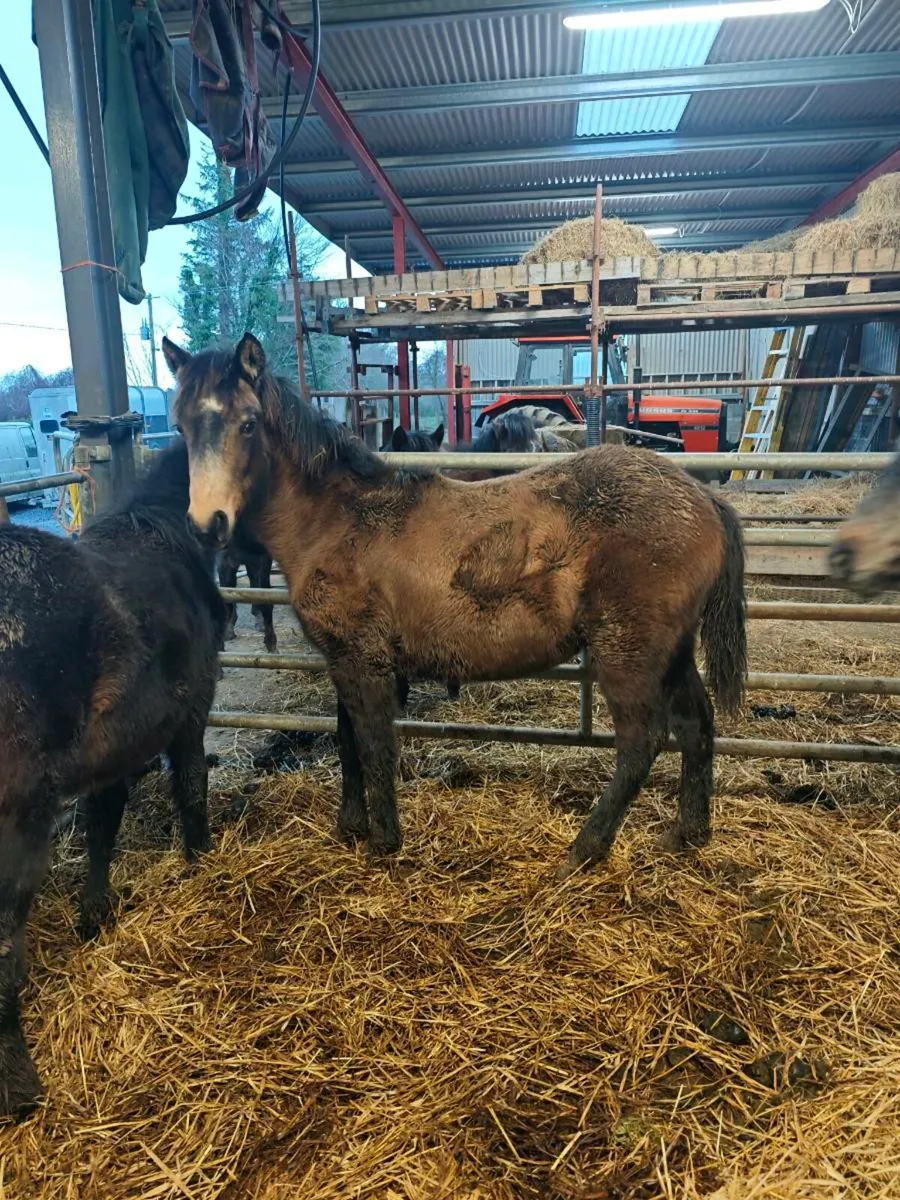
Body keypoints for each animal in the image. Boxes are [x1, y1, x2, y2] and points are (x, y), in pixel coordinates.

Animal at [0, 441, 226, 1116]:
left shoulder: (112, 751)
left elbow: (103, 824)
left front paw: (94, 915)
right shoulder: (188, 717)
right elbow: (191, 791)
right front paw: (202, 863)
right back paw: (20, 1086)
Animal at [165, 332, 747, 879]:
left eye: (247, 424)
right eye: (181, 426)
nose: (207, 524)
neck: (339, 520)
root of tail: (704, 498)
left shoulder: (365, 661)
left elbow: (374, 744)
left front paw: (382, 842)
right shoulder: (342, 659)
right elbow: (347, 738)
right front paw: (350, 828)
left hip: (630, 653)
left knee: (641, 742)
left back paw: (584, 850)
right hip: (670, 651)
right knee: (697, 724)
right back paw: (685, 834)